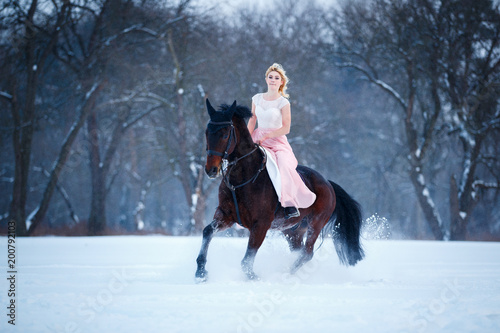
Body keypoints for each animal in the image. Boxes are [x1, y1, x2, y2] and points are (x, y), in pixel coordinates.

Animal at [195, 100, 364, 282]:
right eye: (207, 132)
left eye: (225, 134)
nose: (211, 170)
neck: (241, 178)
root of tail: (328, 183)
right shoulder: (226, 216)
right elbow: (207, 232)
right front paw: (201, 272)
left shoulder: (261, 224)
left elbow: (248, 257)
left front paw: (252, 277)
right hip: (292, 230)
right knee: (299, 251)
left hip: (316, 222)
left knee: (307, 253)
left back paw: (285, 274)